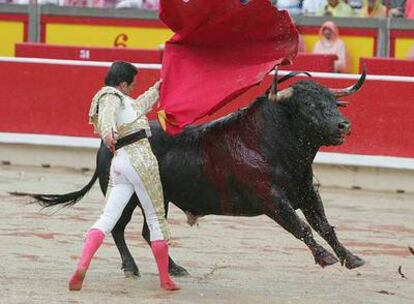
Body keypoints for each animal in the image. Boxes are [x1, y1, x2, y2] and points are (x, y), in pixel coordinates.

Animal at [25, 72, 366, 278]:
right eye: (307, 104)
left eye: (333, 102)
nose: (344, 125)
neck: (272, 143)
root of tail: (110, 142)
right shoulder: (271, 199)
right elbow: (302, 227)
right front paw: (325, 258)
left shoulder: (307, 193)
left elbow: (325, 226)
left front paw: (350, 258)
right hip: (130, 195)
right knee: (119, 228)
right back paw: (131, 267)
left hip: (157, 198)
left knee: (146, 232)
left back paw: (175, 268)